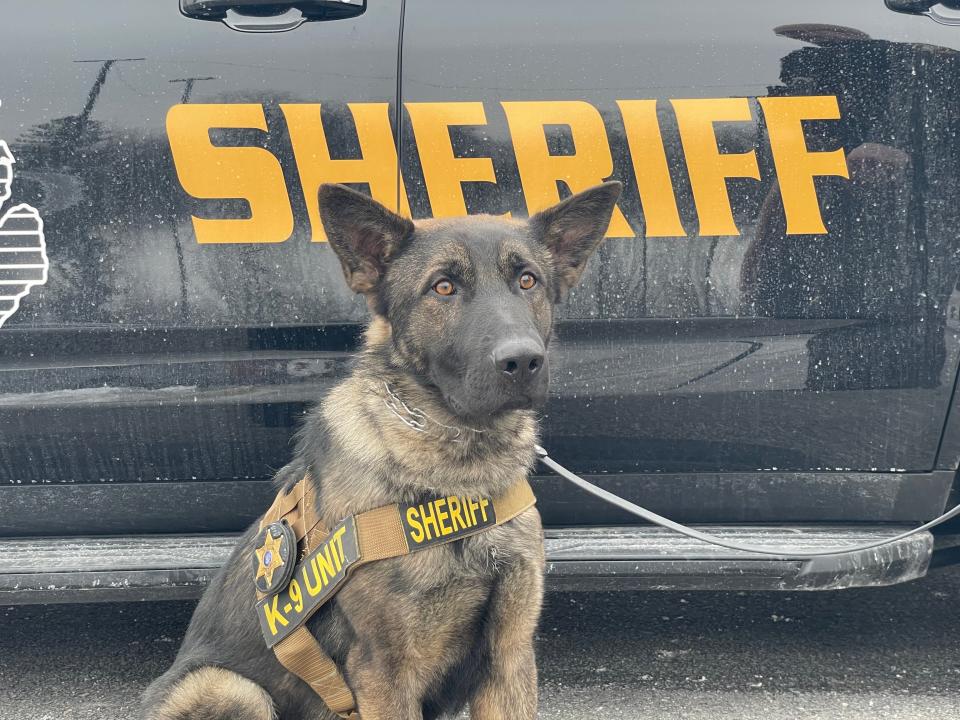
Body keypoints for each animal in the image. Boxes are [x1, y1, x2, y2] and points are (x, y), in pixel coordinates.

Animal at [142, 180, 624, 720]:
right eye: (443, 287)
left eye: (527, 280)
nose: (522, 361)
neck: (461, 477)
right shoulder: (384, 672)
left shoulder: (510, 657)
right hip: (226, 687)